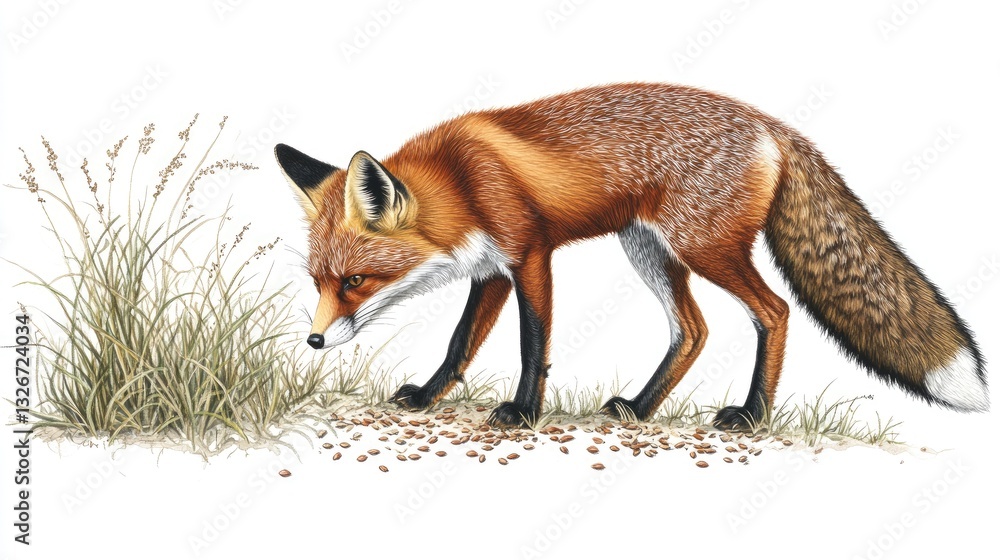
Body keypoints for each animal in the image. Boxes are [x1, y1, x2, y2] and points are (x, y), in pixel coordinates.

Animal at [274, 82, 988, 431]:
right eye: (318, 282)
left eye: (356, 280)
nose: (313, 341)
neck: (461, 181)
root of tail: (774, 127)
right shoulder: (490, 271)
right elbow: (459, 344)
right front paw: (425, 397)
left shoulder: (530, 254)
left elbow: (534, 343)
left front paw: (522, 412)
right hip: (651, 250)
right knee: (693, 330)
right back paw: (642, 410)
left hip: (704, 248)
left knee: (775, 311)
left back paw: (752, 416)